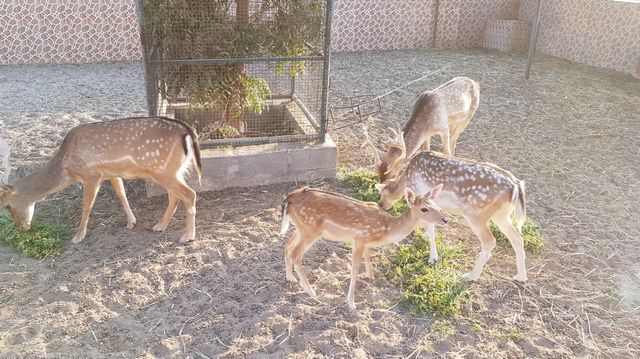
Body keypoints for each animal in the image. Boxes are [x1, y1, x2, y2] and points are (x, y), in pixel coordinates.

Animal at [0, 118, 202, 245]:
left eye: (7, 206)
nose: (22, 228)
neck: (66, 168)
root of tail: (187, 133)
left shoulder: (91, 175)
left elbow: (87, 205)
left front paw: (77, 237)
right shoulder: (112, 173)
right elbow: (121, 194)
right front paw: (132, 222)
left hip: (163, 170)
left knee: (190, 194)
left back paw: (187, 236)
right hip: (172, 171)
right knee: (175, 196)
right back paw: (160, 226)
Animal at [280, 187, 450, 310]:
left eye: (437, 205)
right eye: (424, 209)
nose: (445, 220)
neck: (387, 229)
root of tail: (288, 200)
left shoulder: (366, 243)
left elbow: (368, 256)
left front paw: (371, 276)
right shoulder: (359, 239)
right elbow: (355, 268)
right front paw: (351, 303)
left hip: (301, 229)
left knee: (287, 246)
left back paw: (290, 277)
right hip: (310, 230)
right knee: (296, 254)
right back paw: (311, 291)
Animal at [372, 150, 528, 282]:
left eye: (382, 195)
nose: (383, 206)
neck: (406, 178)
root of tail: (516, 187)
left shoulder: (421, 196)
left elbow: (431, 228)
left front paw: (433, 258)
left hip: (477, 215)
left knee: (490, 241)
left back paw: (470, 276)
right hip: (502, 215)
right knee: (517, 238)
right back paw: (521, 276)